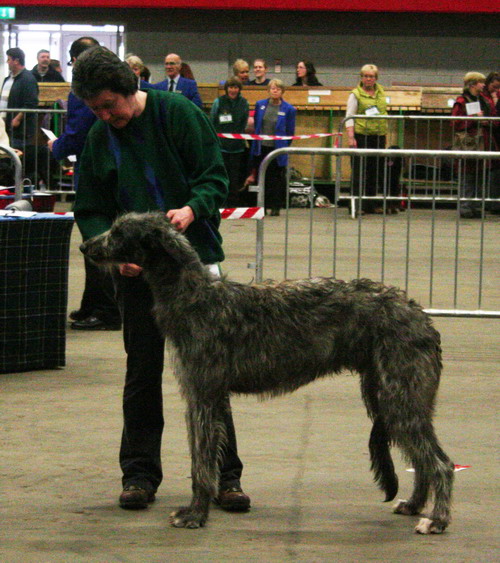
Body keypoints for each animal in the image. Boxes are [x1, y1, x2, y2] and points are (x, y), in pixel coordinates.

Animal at [83, 210, 458, 532]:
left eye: (119, 233)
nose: (85, 247)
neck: (196, 298)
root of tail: (420, 315)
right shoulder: (202, 396)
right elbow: (200, 458)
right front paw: (197, 509)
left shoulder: (204, 395)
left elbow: (202, 464)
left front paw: (195, 514)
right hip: (389, 397)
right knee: (422, 458)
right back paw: (414, 504)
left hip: (399, 396)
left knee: (441, 463)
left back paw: (436, 519)